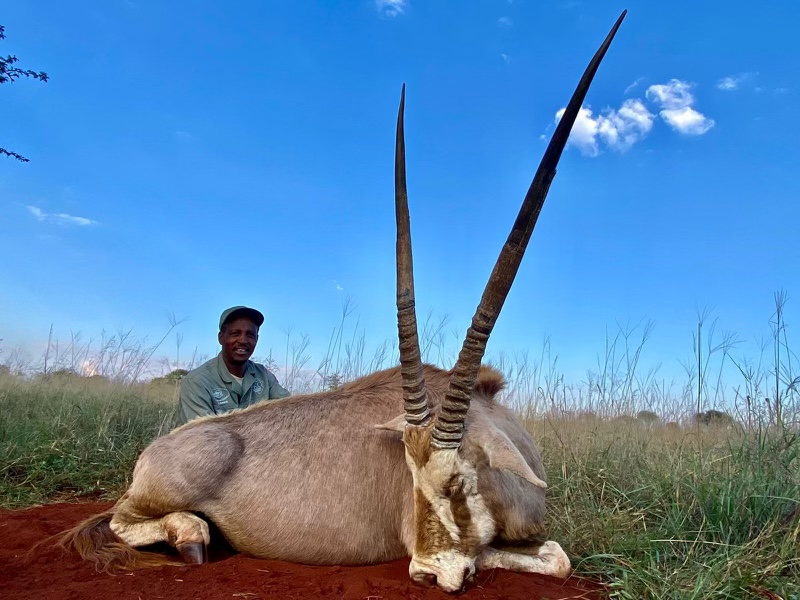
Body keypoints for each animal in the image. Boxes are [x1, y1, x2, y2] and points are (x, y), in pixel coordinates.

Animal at [57, 11, 626, 593]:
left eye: (460, 481)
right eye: (411, 477)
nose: (426, 573)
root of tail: (157, 449)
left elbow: (555, 555)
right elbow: (547, 555)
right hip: (152, 497)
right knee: (122, 519)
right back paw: (192, 534)